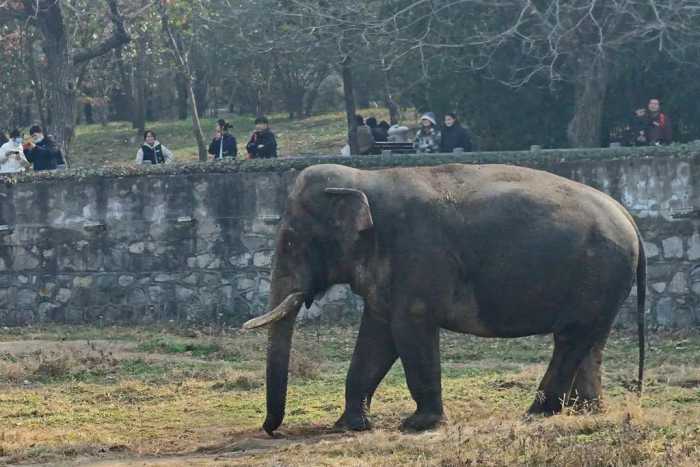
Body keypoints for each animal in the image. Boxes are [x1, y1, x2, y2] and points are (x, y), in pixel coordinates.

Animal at [243, 164, 648, 436]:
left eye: (290, 241)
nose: (270, 429)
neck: (364, 178)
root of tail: (630, 218)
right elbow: (376, 337)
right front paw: (349, 425)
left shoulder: (418, 256)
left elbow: (410, 327)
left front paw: (417, 424)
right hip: (604, 283)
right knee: (591, 341)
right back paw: (587, 412)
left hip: (598, 273)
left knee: (570, 339)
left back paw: (536, 413)